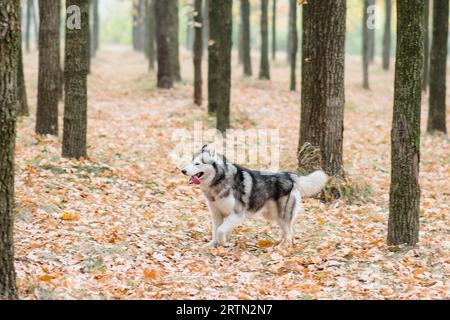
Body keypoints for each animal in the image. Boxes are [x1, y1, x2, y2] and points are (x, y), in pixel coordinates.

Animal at [182, 145, 326, 248]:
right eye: (190, 161)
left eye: (197, 164)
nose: (183, 170)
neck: (219, 181)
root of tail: (290, 175)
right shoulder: (217, 215)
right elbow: (215, 231)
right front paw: (213, 245)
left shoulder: (237, 214)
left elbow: (221, 231)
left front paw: (223, 243)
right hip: (274, 216)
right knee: (288, 232)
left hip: (282, 216)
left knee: (290, 234)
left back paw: (281, 247)